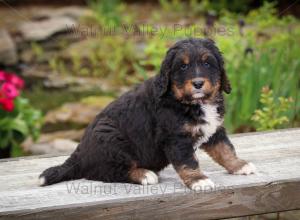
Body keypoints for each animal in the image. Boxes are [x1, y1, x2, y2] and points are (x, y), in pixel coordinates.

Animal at [39, 38, 255, 191]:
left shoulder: (214, 129)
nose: (198, 83)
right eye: (183, 66)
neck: (191, 102)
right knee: (108, 172)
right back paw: (144, 175)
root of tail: (79, 152)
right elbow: (188, 162)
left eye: (207, 63)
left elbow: (225, 149)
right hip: (111, 139)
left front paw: (239, 165)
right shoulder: (176, 139)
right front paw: (199, 180)